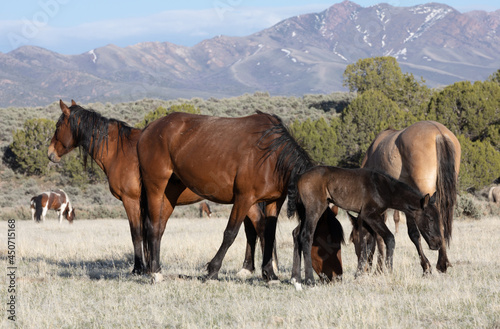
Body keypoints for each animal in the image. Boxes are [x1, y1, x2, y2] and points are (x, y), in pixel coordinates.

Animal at [288, 165, 440, 286]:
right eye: (430, 218)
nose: (437, 244)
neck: (383, 188)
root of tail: (299, 177)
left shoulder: (367, 219)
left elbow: (367, 244)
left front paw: (360, 274)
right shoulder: (370, 215)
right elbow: (389, 238)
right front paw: (389, 270)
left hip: (306, 212)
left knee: (296, 233)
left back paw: (296, 279)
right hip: (315, 209)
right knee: (306, 236)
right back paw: (309, 280)